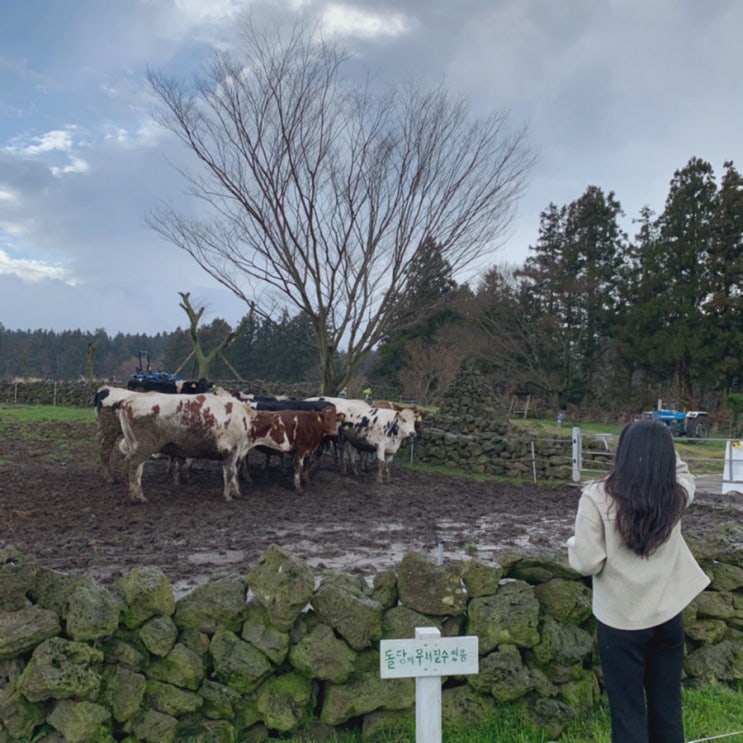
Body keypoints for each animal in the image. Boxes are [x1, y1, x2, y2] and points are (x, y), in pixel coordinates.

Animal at [115, 392, 292, 502]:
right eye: (281, 429)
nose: (290, 447)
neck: (245, 419)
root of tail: (128, 401)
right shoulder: (232, 450)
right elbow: (230, 473)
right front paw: (228, 496)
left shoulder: (235, 452)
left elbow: (232, 473)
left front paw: (236, 492)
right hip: (144, 447)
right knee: (134, 466)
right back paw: (137, 497)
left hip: (138, 447)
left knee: (136, 468)